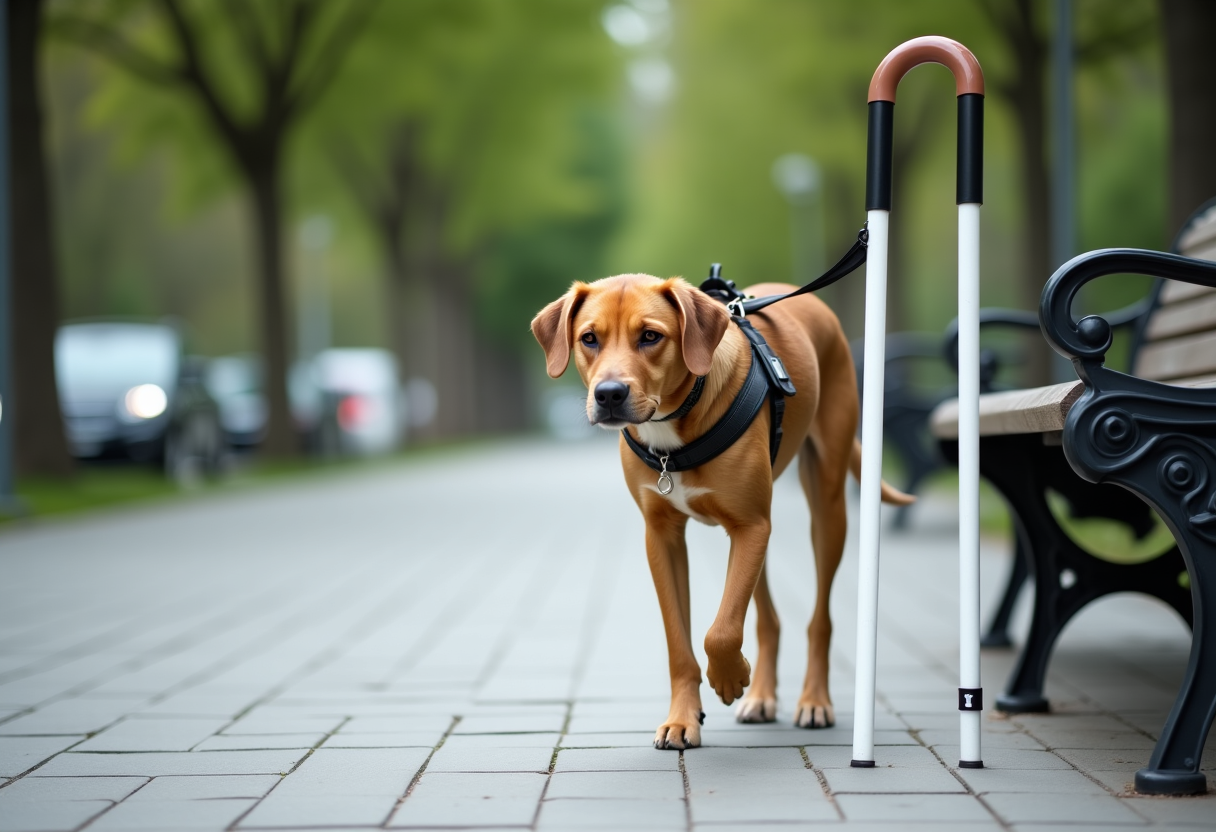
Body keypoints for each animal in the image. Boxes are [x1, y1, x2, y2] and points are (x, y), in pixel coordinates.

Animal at [532, 272, 914, 749]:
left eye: (650, 336)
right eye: (589, 338)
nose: (609, 395)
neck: (672, 431)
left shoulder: (751, 525)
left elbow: (722, 629)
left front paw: (730, 677)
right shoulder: (664, 538)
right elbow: (680, 640)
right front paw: (682, 719)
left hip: (824, 509)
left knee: (818, 619)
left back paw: (814, 701)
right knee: (768, 618)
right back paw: (763, 697)